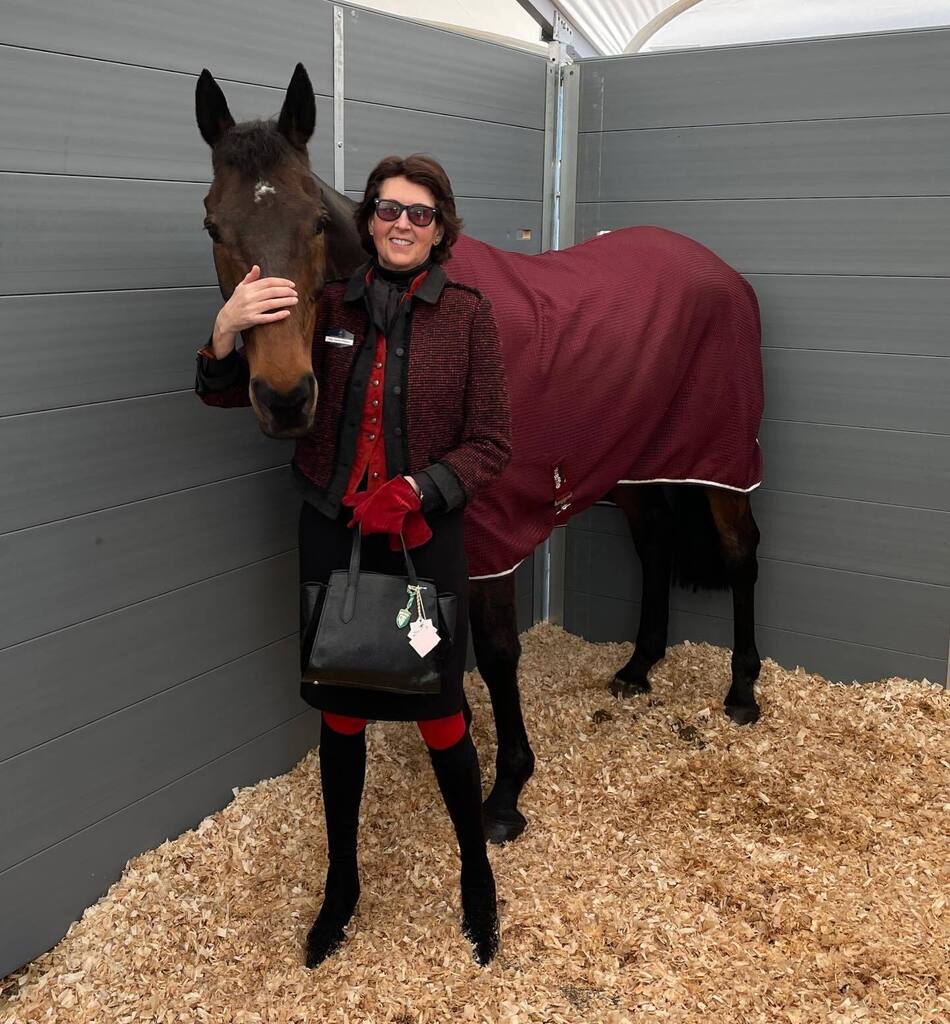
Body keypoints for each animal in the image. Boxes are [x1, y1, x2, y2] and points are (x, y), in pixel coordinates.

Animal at [194, 66, 765, 847]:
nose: (285, 397)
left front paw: (506, 791)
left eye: (313, 222)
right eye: (213, 226)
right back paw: (639, 666)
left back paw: (742, 690)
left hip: (722, 464)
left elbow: (496, 653)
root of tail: (719, 268)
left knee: (741, 552)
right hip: (636, 461)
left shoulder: (490, 525)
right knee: (654, 543)